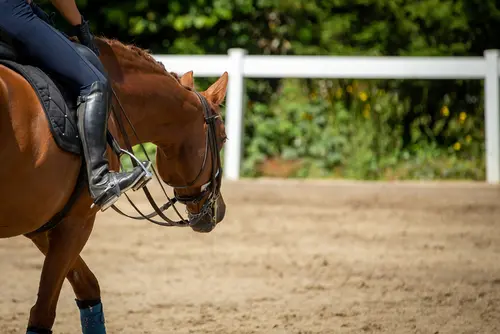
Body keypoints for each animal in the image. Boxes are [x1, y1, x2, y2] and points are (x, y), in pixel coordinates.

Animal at [0, 37, 229, 332]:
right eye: (223, 138)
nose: (219, 211)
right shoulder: (77, 222)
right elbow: (43, 313)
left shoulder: (41, 224)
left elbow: (87, 287)